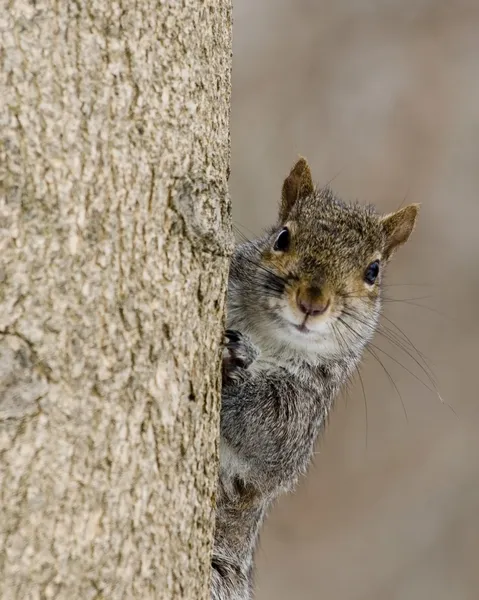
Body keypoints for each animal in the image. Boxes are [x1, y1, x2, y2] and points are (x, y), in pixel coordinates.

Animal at [212, 159, 418, 600]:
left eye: (373, 271)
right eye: (283, 237)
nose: (313, 301)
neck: (267, 338)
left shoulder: (303, 413)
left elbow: (268, 435)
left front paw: (232, 368)